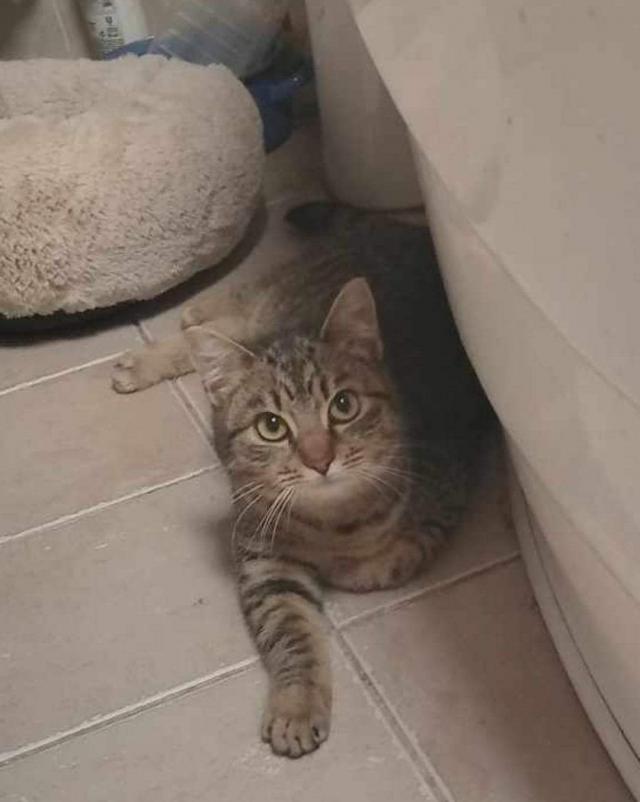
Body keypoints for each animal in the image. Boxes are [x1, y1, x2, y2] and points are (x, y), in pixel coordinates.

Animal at [112, 202, 493, 758]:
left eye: (344, 405)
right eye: (271, 426)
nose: (319, 458)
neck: (332, 521)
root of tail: (405, 227)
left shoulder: (446, 487)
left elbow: (391, 559)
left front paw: (356, 565)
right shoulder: (265, 562)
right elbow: (293, 637)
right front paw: (296, 706)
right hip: (271, 299)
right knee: (234, 314)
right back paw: (165, 340)